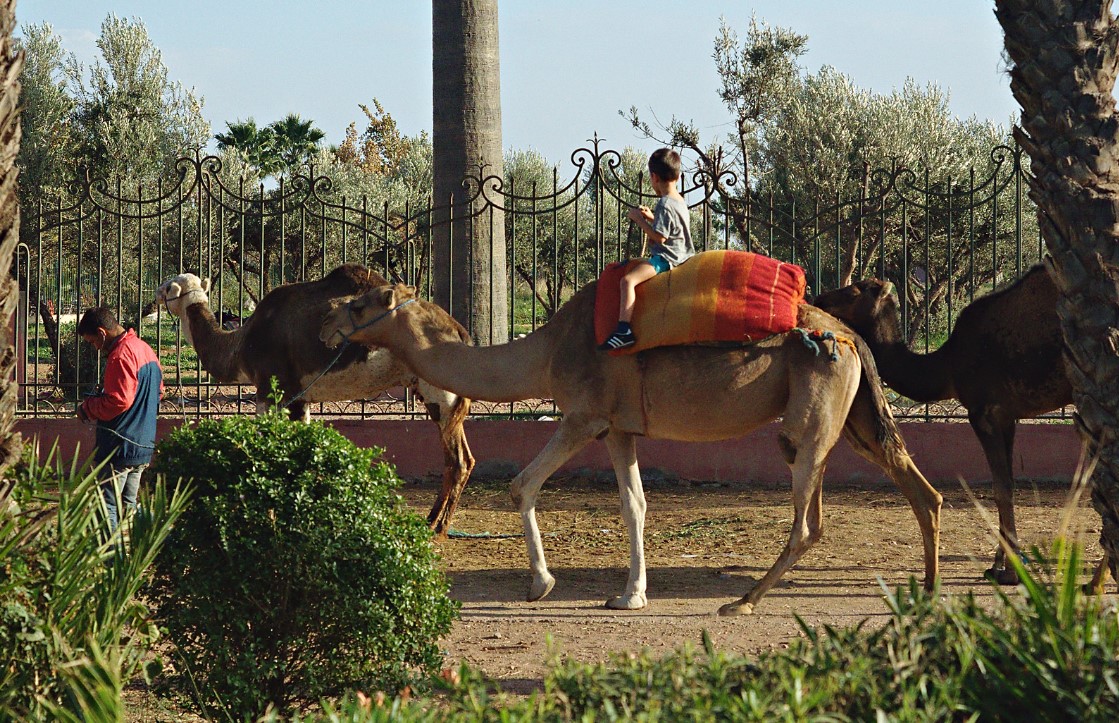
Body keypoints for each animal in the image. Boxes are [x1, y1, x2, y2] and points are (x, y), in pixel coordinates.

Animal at [155, 266, 474, 537]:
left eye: (167, 287)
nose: (152, 299)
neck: (240, 346)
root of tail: (462, 334)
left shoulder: (270, 393)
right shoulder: (300, 398)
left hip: (440, 393)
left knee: (457, 461)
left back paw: (437, 527)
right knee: (462, 459)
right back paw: (432, 521)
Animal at [322, 280, 944, 613]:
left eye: (362, 303)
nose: (329, 322)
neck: (546, 351)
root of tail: (852, 337)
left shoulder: (585, 414)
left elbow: (521, 483)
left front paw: (541, 585)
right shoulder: (619, 427)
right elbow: (635, 504)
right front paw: (630, 595)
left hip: (810, 421)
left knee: (809, 520)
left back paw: (741, 601)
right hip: (856, 416)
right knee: (922, 490)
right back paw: (928, 591)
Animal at [810, 266, 1078, 590]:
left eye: (853, 291)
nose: (818, 298)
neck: (947, 366)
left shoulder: (984, 413)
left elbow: (1000, 488)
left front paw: (1011, 572)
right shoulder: (1008, 416)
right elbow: (1009, 485)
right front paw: (998, 565)